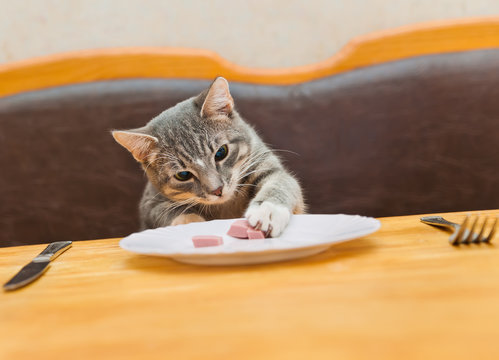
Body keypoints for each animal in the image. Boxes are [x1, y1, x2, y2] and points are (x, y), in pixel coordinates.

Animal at [114, 77, 306, 238]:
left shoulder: (265, 165)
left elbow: (280, 182)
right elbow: (170, 213)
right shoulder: (150, 203)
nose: (217, 190)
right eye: (183, 175)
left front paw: (268, 211)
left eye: (221, 152)